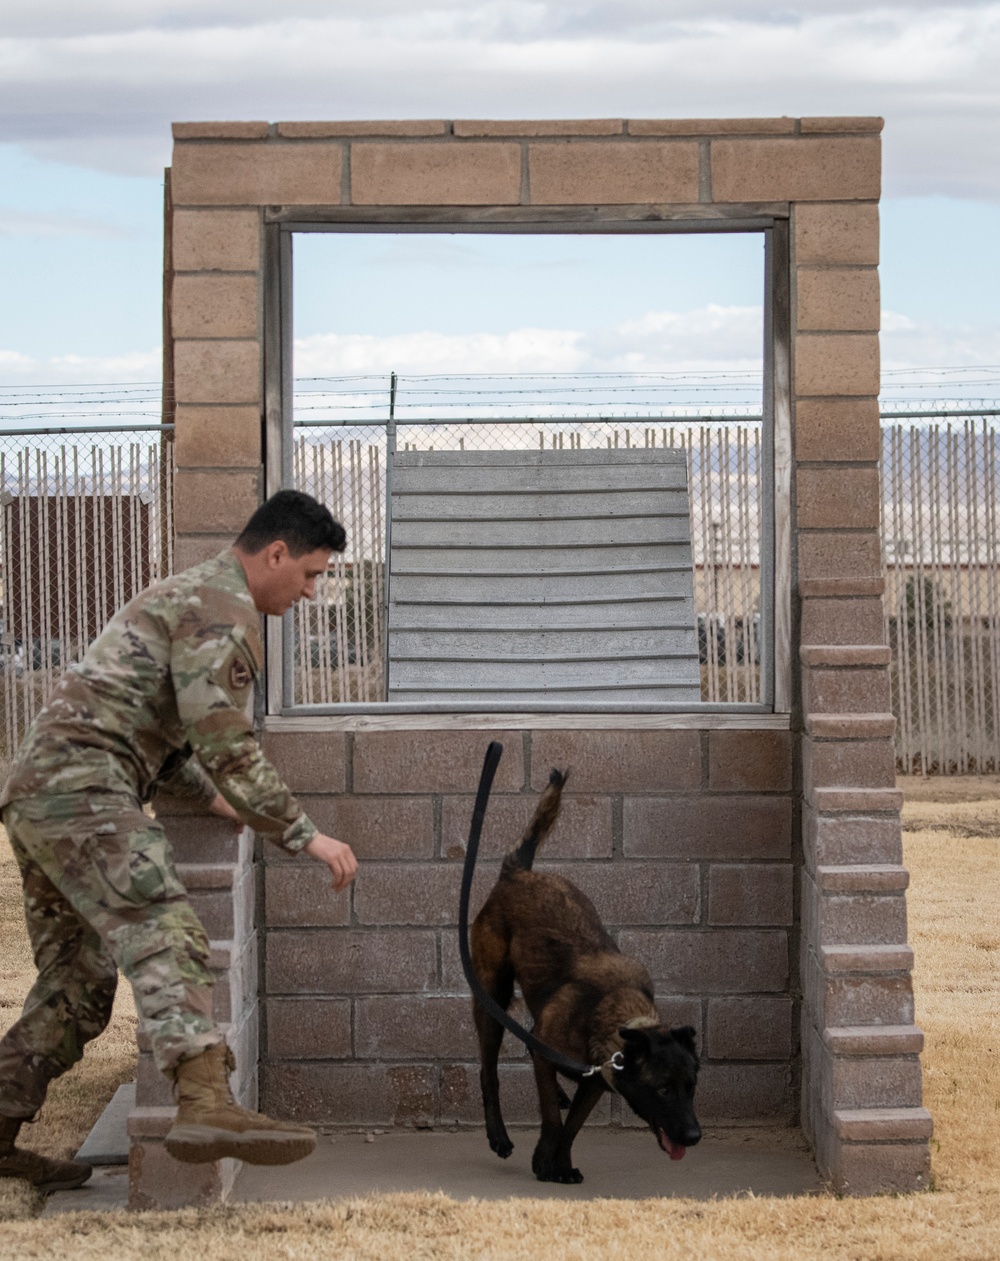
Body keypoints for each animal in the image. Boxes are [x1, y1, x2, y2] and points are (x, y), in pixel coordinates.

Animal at [469, 761, 696, 1185]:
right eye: (662, 1090)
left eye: (692, 1087)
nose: (695, 1136)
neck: (612, 1010)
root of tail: (517, 872)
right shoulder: (548, 1058)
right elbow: (553, 1121)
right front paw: (545, 1163)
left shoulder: (595, 1082)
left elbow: (571, 1126)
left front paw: (559, 1162)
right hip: (492, 993)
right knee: (488, 1070)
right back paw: (498, 1135)